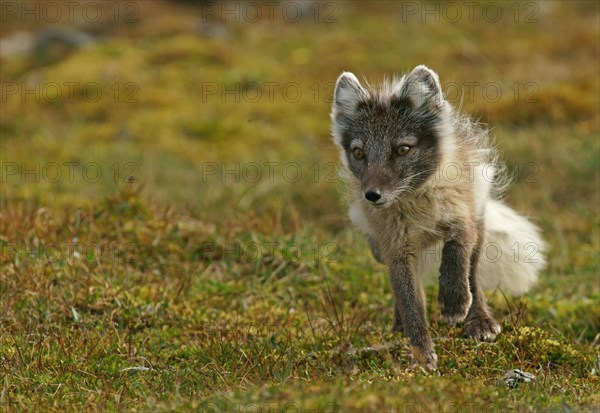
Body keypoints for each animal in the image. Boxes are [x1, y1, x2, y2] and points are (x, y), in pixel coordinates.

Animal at [330, 65, 548, 370]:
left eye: (403, 149)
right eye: (358, 153)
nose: (371, 196)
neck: (416, 202)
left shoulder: (462, 217)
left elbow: (456, 254)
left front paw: (454, 302)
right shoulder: (397, 249)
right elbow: (410, 301)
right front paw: (421, 353)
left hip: (479, 223)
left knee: (473, 273)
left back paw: (478, 319)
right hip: (379, 250)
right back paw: (399, 328)